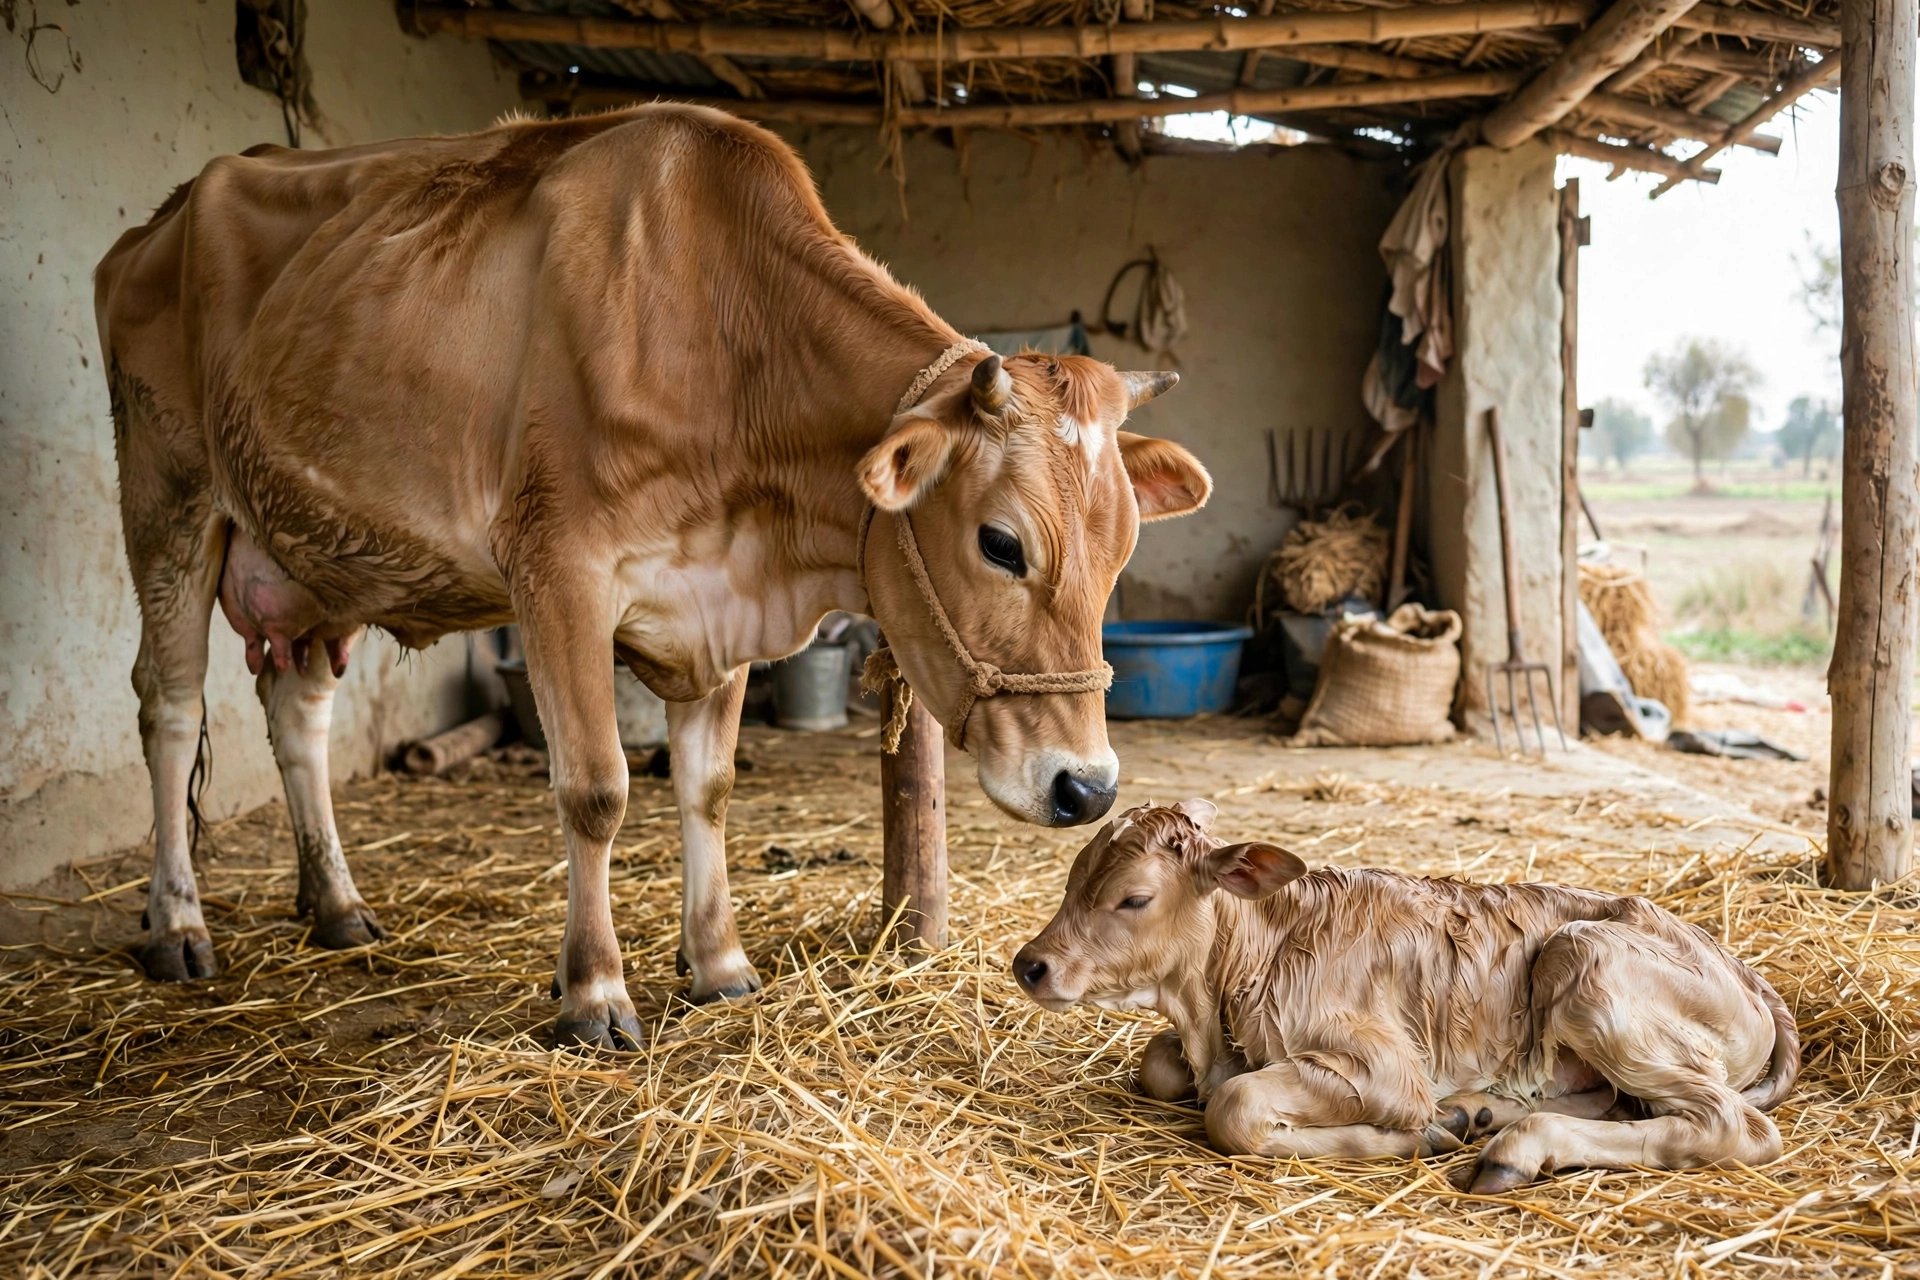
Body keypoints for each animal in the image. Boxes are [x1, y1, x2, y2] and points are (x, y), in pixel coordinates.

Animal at [93, 104, 1213, 1048]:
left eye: (1123, 550)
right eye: (1001, 543)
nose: (1087, 786)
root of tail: (159, 218)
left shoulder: (717, 597)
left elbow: (707, 787)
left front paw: (718, 963)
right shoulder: (559, 567)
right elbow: (596, 789)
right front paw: (593, 994)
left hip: (314, 555)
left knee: (299, 714)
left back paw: (336, 906)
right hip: (169, 496)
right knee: (170, 705)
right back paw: (178, 926)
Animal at [1011, 801, 1799, 1191]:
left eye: (1133, 897)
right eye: (1072, 874)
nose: (1030, 965)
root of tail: (1743, 968)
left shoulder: (1384, 1067)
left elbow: (1234, 1107)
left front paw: (1413, 1133)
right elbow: (1160, 1064)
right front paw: (1446, 1122)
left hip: (1589, 963)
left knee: (1729, 1126)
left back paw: (1512, 1150)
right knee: (1616, 1102)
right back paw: (1480, 1115)